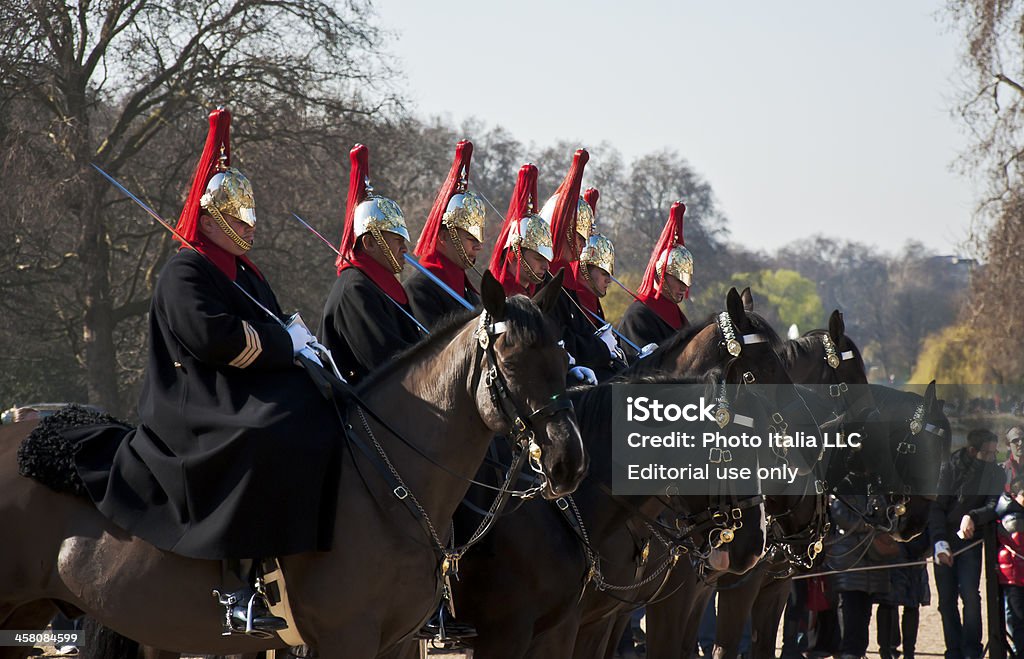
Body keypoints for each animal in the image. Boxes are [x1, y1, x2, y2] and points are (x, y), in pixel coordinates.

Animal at [0, 272, 589, 659]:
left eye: (562, 360)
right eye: (510, 360)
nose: (568, 461)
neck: (389, 484)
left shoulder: (397, 643)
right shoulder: (348, 638)